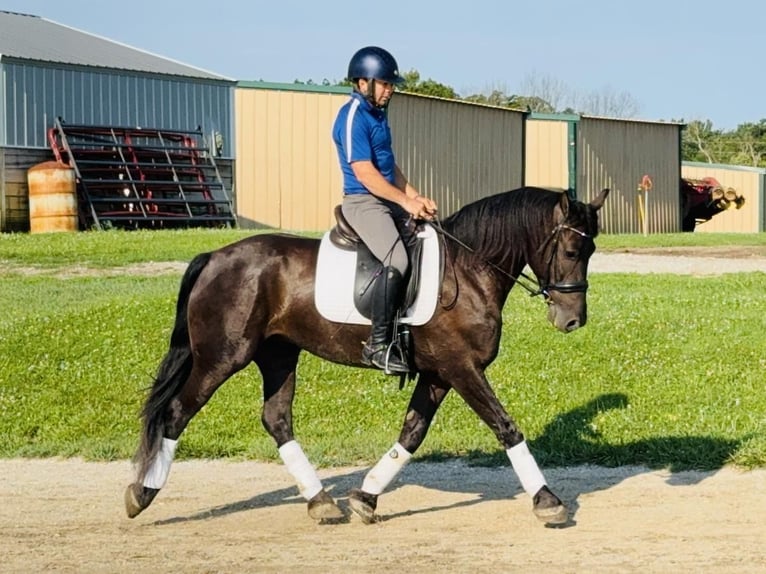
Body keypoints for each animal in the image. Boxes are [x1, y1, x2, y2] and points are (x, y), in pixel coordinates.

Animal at [123, 188, 608, 528]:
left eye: (591, 251)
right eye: (570, 251)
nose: (572, 320)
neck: (468, 269)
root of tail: (213, 258)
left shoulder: (439, 374)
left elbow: (411, 433)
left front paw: (365, 497)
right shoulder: (461, 368)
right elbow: (505, 426)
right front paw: (547, 500)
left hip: (278, 355)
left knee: (276, 419)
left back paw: (321, 502)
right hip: (222, 357)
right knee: (176, 413)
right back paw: (141, 495)